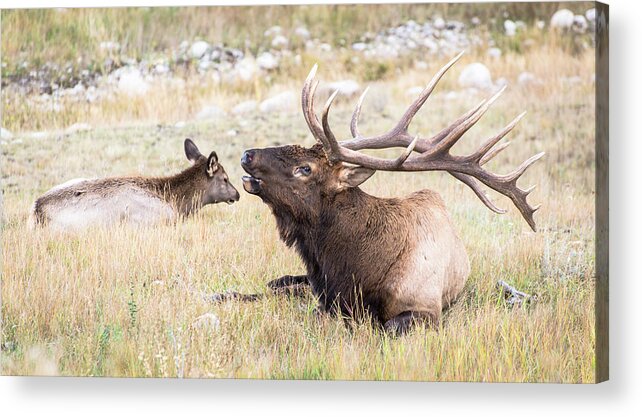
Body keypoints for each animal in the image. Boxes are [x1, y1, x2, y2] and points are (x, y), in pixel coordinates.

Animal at [240, 52, 540, 334]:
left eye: (305, 168)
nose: (247, 154)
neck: (355, 270)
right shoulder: (326, 297)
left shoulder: (426, 309)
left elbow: (387, 327)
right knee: (276, 283)